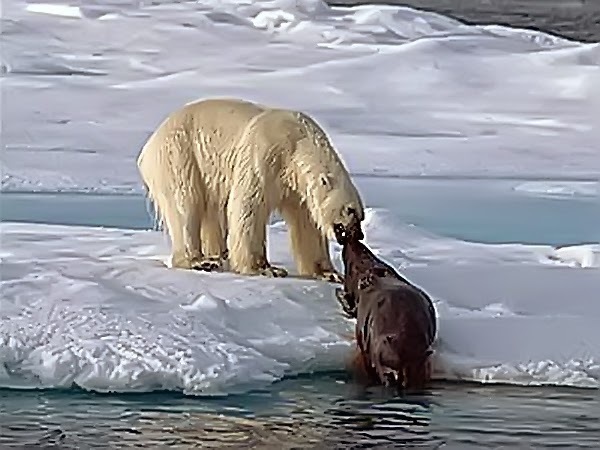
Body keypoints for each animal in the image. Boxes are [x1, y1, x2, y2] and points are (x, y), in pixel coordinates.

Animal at [138, 97, 364, 282]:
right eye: (349, 210)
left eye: (361, 216)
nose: (360, 235)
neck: (297, 142)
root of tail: (149, 146)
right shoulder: (266, 154)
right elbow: (249, 206)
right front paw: (267, 269)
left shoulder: (298, 190)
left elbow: (307, 224)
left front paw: (329, 273)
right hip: (180, 155)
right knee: (185, 204)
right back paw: (200, 261)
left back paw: (217, 256)